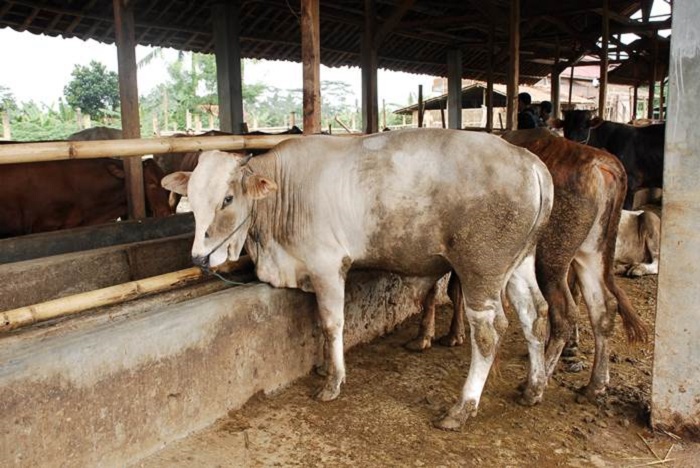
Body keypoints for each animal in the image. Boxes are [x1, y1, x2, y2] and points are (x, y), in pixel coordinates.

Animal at [163, 128, 552, 428]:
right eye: (191, 199)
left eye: (228, 198)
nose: (199, 258)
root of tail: (527, 159)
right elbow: (319, 324)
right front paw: (324, 367)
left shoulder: (328, 266)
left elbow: (332, 323)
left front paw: (333, 381)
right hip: (519, 263)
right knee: (535, 315)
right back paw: (533, 387)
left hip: (480, 270)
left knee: (489, 333)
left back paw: (462, 408)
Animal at [408, 128, 648, 402]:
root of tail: (598, 160)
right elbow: (452, 290)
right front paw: (452, 334)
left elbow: (438, 290)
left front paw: (426, 337)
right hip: (590, 253)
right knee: (603, 306)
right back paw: (594, 384)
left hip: (550, 260)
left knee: (564, 311)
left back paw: (536, 383)